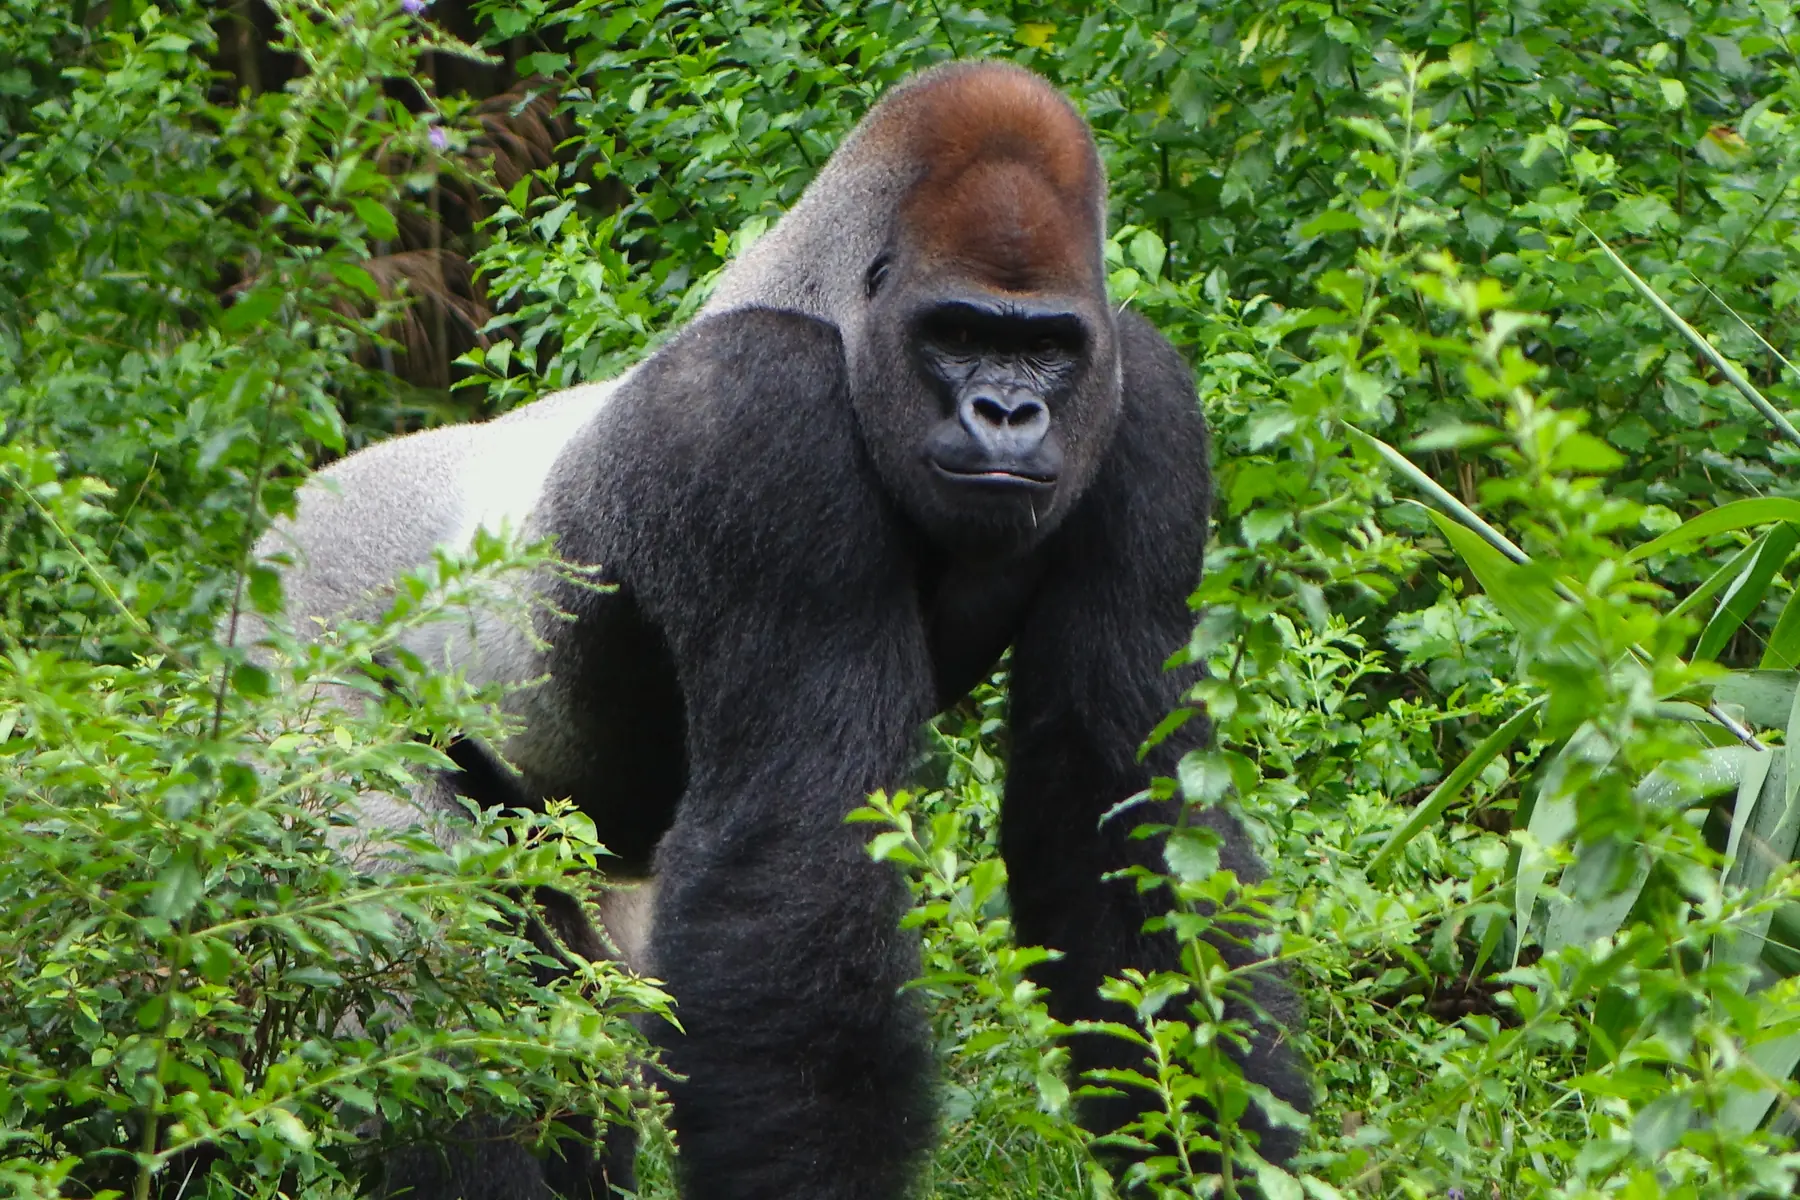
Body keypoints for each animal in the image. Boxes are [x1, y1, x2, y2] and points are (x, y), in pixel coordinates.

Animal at [254, 60, 1310, 1200]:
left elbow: (1123, 801)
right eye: (958, 335)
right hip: (290, 662)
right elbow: (799, 851)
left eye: (1047, 347)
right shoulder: (759, 415)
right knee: (424, 976)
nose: (1005, 414)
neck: (831, 310)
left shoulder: (1146, 400)